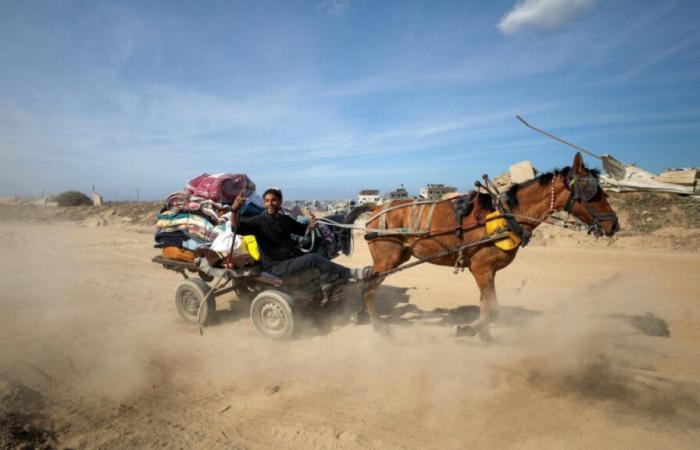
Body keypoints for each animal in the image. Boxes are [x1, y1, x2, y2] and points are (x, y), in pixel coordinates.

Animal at [356, 153, 616, 340]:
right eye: (592, 191)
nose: (614, 224)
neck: (508, 214)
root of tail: (375, 207)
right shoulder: (482, 268)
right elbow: (493, 309)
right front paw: (469, 330)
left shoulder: (487, 271)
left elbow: (486, 305)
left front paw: (485, 335)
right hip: (387, 260)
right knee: (368, 288)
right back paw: (378, 326)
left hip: (396, 258)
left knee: (367, 282)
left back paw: (364, 317)